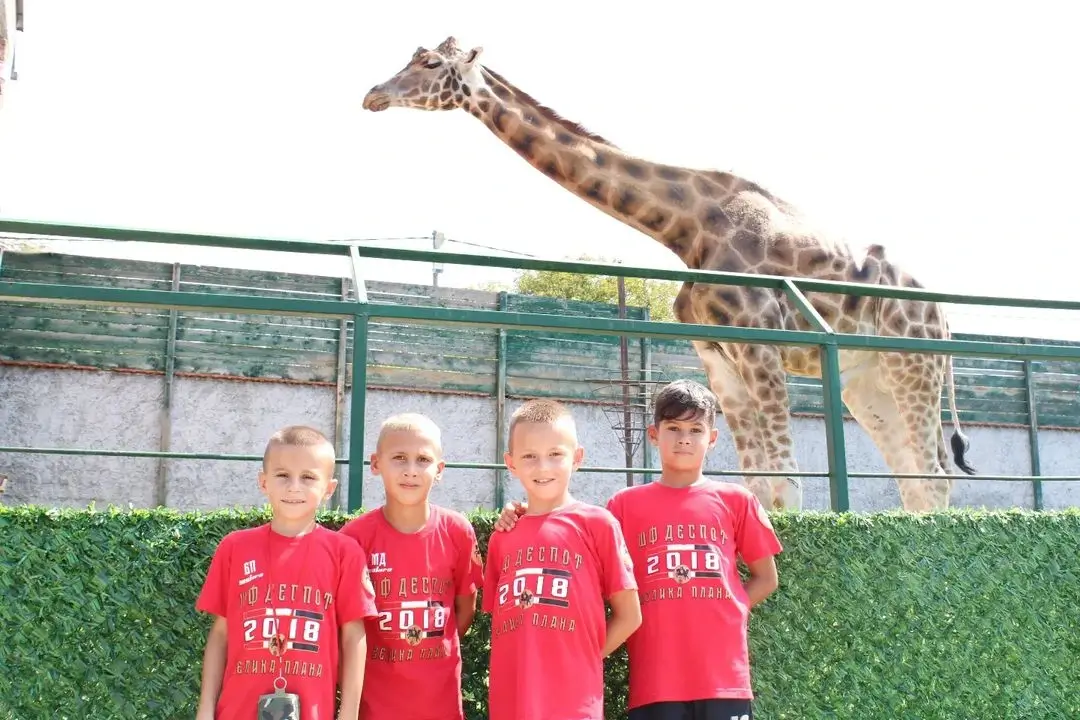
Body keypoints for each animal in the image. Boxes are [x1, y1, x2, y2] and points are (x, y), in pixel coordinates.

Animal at [361, 37, 977, 512]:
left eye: (430, 63)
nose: (372, 94)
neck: (686, 230)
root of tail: (944, 315)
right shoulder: (719, 357)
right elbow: (760, 486)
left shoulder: (759, 346)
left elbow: (787, 483)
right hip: (868, 381)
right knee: (914, 478)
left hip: (912, 366)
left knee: (933, 477)